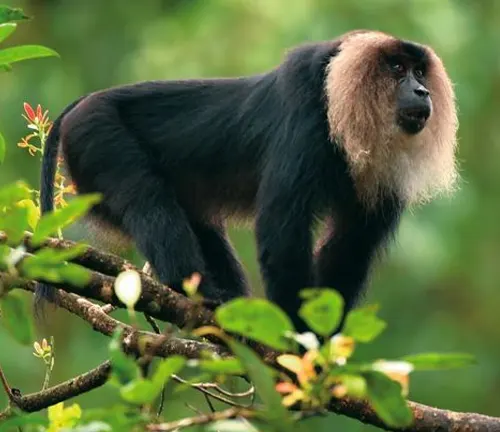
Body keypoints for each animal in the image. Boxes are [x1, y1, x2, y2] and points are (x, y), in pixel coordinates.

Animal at [36, 30, 458, 332]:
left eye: (419, 72)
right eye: (397, 69)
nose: (421, 91)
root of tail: (84, 102)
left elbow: (351, 246)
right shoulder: (306, 115)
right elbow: (281, 237)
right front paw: (298, 343)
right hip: (97, 135)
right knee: (146, 199)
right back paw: (197, 291)